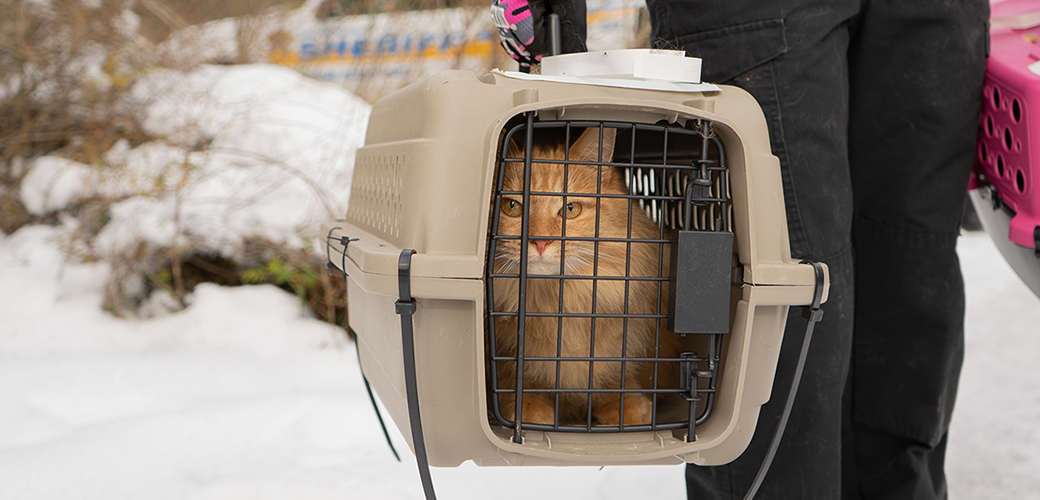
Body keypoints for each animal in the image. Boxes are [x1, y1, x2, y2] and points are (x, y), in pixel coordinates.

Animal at [490, 124, 678, 424]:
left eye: (570, 209)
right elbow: (516, 382)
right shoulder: (506, 354)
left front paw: (628, 410)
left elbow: (613, 380)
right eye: (512, 207)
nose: (540, 242)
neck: (560, 303)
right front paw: (528, 411)